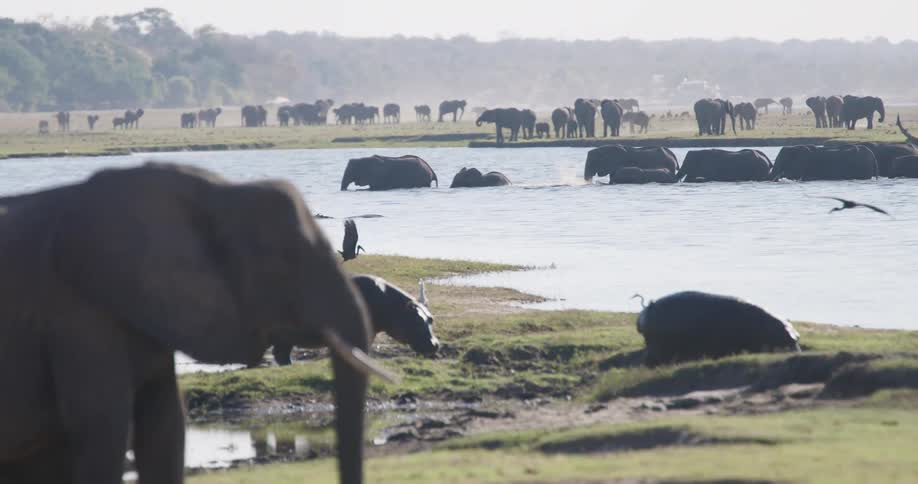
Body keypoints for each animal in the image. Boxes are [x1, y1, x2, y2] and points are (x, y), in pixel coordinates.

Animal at [271, 274, 440, 365]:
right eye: (416, 319)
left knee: (280, 355)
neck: (393, 306)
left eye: (431, 319)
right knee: (281, 355)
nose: (435, 344)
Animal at [634, 291, 800, 366]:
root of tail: (648, 307)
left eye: (798, 337)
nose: (798, 351)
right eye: (793, 339)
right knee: (650, 358)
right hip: (657, 346)